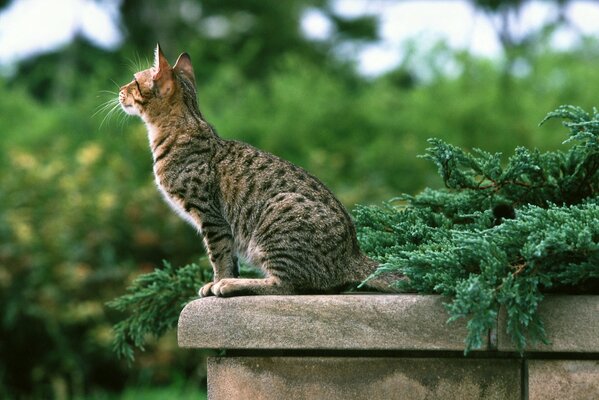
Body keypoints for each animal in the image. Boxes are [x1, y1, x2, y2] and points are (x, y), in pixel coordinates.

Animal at [118, 46, 398, 296]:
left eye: (134, 80)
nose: (120, 90)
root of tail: (354, 255)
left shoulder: (211, 217)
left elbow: (218, 256)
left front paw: (220, 281)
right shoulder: (221, 226)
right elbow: (230, 258)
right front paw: (223, 278)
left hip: (277, 218)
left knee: (286, 286)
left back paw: (233, 286)